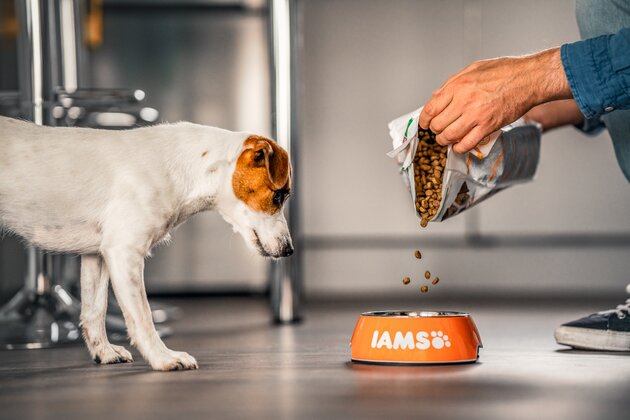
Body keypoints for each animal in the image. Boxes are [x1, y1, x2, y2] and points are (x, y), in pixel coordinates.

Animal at [0, 115, 296, 370]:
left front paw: (104, 352)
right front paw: (163, 358)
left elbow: (95, 310)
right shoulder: (125, 252)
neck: (180, 166)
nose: (289, 250)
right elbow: (143, 317)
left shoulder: (98, 255)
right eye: (279, 196)